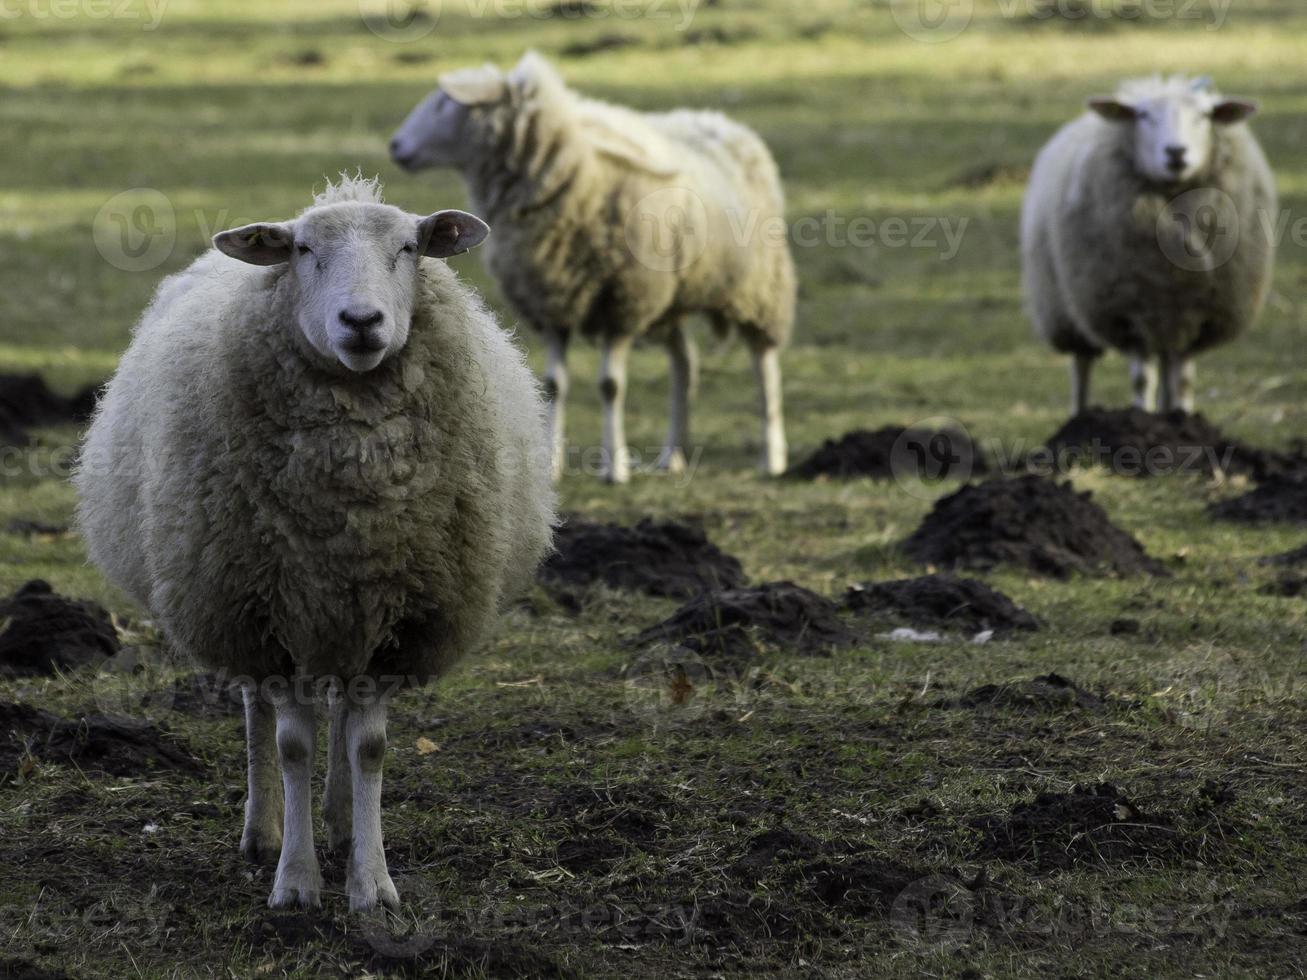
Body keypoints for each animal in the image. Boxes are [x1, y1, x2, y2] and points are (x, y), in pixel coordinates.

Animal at [75, 175, 556, 914]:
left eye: (409, 247)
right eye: (302, 250)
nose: (361, 322)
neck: (350, 503)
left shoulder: (391, 619)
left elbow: (370, 748)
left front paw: (372, 883)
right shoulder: (268, 616)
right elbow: (292, 746)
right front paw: (297, 882)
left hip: (341, 616)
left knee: (340, 714)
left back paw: (340, 819)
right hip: (243, 603)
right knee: (257, 717)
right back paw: (263, 829)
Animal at [386, 51, 794, 486]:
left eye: (446, 103)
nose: (396, 145)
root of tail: (724, 122)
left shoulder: (623, 300)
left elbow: (610, 385)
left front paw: (614, 466)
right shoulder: (550, 301)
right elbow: (553, 386)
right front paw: (550, 464)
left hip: (759, 287)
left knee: (764, 367)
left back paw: (772, 456)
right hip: (672, 298)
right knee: (685, 361)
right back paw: (674, 454)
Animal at [1019, 75, 1275, 415]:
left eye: (1203, 116)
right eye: (1143, 116)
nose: (1176, 152)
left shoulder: (1196, 312)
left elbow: (1184, 380)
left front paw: (1182, 417)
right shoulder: (1130, 311)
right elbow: (1141, 379)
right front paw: (1139, 415)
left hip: (1168, 321)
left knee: (1167, 365)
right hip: (1063, 308)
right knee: (1082, 365)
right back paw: (1081, 415)